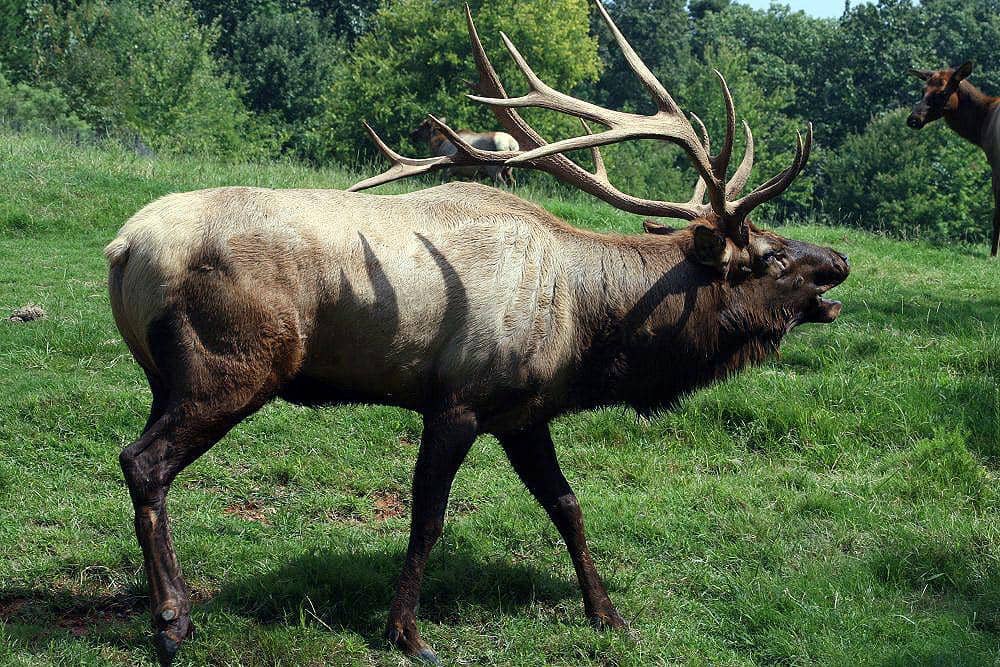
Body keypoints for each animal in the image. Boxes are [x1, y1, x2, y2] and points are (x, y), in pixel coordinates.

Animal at [105, 1, 849, 664]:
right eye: (771, 257)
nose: (838, 261)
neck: (587, 330)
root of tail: (123, 246)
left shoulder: (524, 413)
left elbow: (567, 505)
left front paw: (607, 614)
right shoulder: (458, 398)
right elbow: (427, 516)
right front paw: (407, 632)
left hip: (164, 378)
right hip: (228, 368)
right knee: (143, 461)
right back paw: (172, 620)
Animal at [907, 62, 1000, 256]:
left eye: (942, 92)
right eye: (922, 90)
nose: (913, 119)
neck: (981, 127)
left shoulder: (996, 165)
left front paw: (993, 254)